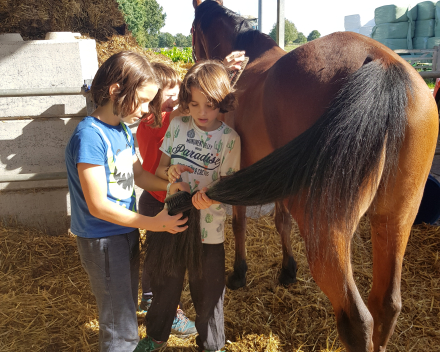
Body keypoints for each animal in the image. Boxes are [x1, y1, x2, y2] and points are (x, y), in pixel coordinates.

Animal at [191, 0, 438, 352]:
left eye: (192, 31)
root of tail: (384, 63)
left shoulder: (238, 167)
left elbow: (239, 224)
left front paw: (239, 274)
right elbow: (281, 222)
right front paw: (288, 271)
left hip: (326, 230)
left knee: (357, 318)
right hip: (396, 218)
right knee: (387, 305)